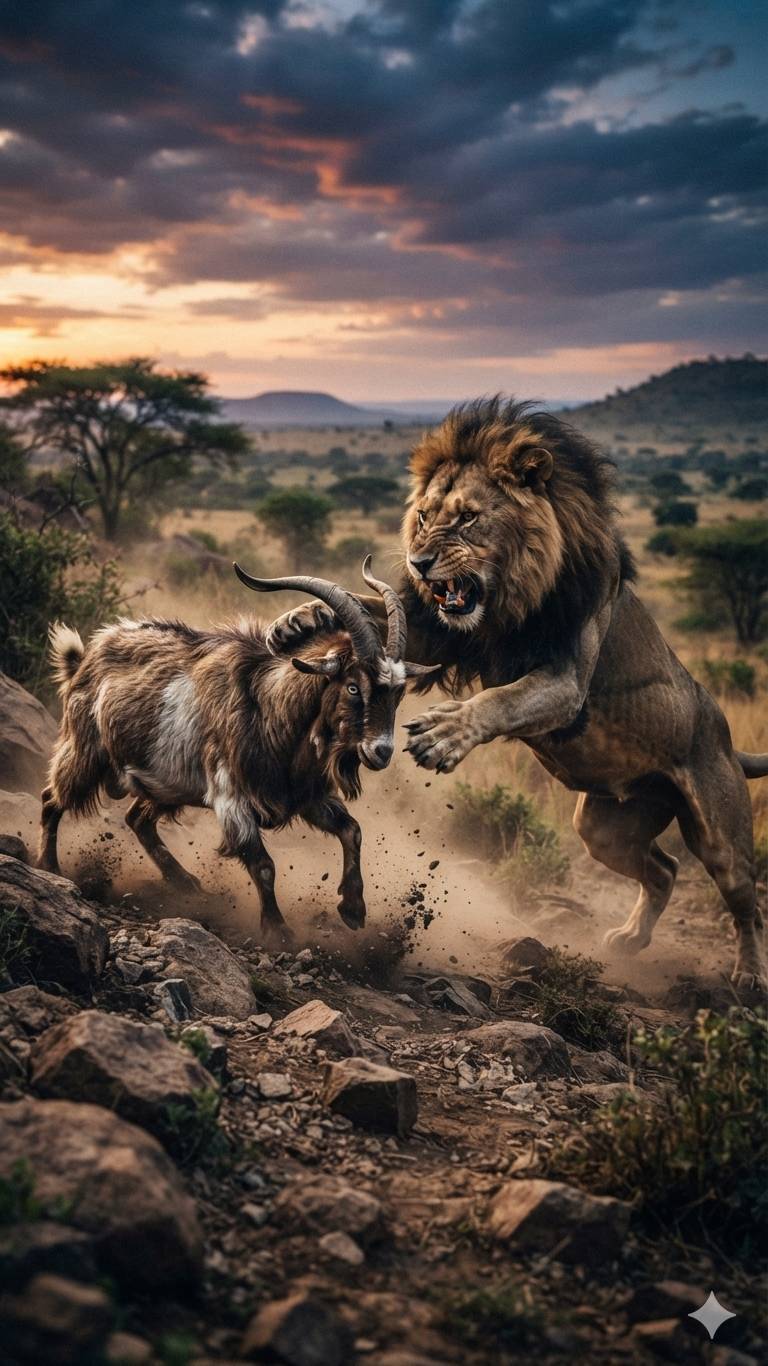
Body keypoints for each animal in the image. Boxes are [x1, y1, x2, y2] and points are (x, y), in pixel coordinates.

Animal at [39, 560, 436, 942]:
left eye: (398, 692)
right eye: (353, 687)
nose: (382, 751)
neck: (270, 709)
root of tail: (85, 658)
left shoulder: (305, 796)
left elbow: (352, 830)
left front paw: (353, 909)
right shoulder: (232, 798)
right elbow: (264, 865)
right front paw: (278, 930)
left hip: (166, 784)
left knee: (137, 819)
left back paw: (186, 883)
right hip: (85, 752)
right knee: (52, 799)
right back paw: (49, 866)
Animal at [267, 397, 768, 989]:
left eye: (467, 517)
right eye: (423, 518)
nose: (418, 563)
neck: (509, 598)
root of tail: (726, 738)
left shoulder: (565, 682)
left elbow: (502, 701)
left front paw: (443, 734)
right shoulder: (448, 632)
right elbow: (368, 609)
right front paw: (299, 619)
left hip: (718, 832)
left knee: (745, 898)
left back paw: (748, 976)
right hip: (603, 828)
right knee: (664, 870)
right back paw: (629, 939)